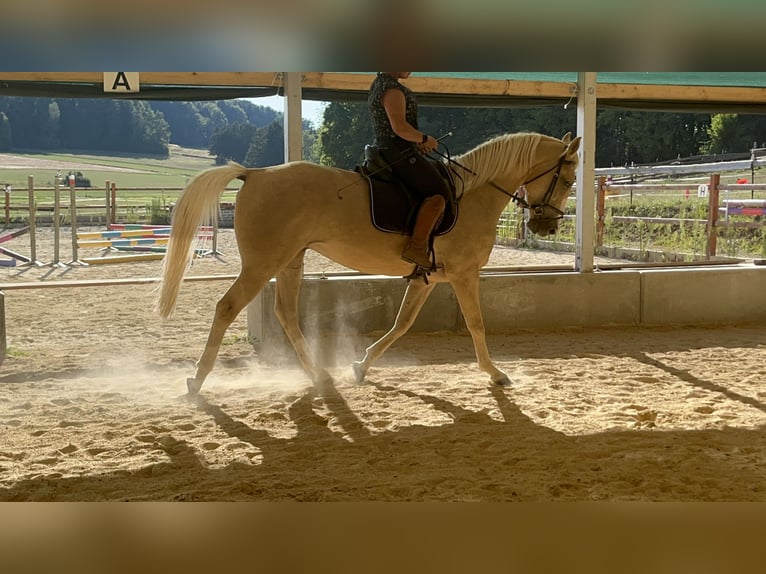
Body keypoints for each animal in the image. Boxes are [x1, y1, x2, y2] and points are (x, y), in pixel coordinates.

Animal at [156, 131, 581, 394]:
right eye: (567, 179)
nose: (546, 226)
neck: (473, 194)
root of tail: (255, 174)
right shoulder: (464, 275)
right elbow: (476, 324)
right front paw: (495, 374)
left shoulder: (426, 278)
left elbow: (402, 323)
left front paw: (361, 366)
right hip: (263, 263)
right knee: (227, 307)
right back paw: (197, 380)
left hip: (291, 261)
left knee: (286, 313)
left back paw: (319, 375)